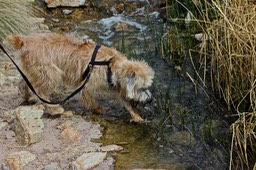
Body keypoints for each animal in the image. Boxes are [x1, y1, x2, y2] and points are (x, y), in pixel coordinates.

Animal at [6, 32, 154, 122]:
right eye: (141, 88)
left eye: (147, 86)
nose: (150, 100)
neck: (111, 64)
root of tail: (24, 41)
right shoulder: (86, 83)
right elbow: (90, 99)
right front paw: (98, 109)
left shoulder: (115, 87)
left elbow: (125, 102)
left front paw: (136, 116)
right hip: (51, 73)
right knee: (41, 91)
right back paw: (54, 109)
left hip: (32, 70)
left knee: (24, 83)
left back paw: (27, 97)